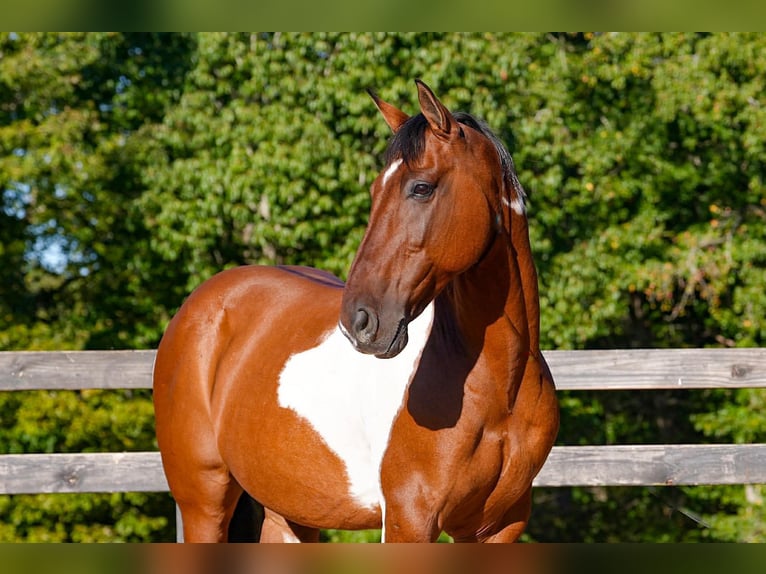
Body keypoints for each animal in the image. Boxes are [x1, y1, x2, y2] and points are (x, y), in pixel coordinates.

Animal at [153, 80, 559, 543]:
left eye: (422, 187)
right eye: (375, 191)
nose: (359, 322)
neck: (498, 388)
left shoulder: (500, 526)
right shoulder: (408, 521)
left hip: (290, 513)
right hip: (203, 503)